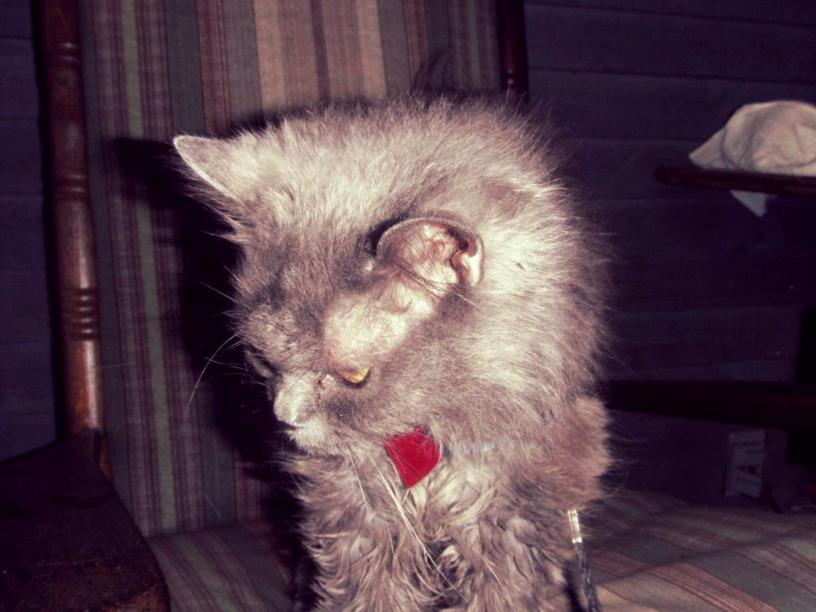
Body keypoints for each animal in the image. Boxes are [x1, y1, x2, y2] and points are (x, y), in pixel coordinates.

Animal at [174, 98, 609, 611]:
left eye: (354, 376)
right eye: (262, 359)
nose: (286, 419)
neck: (426, 438)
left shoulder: (517, 521)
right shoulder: (353, 520)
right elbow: (366, 597)